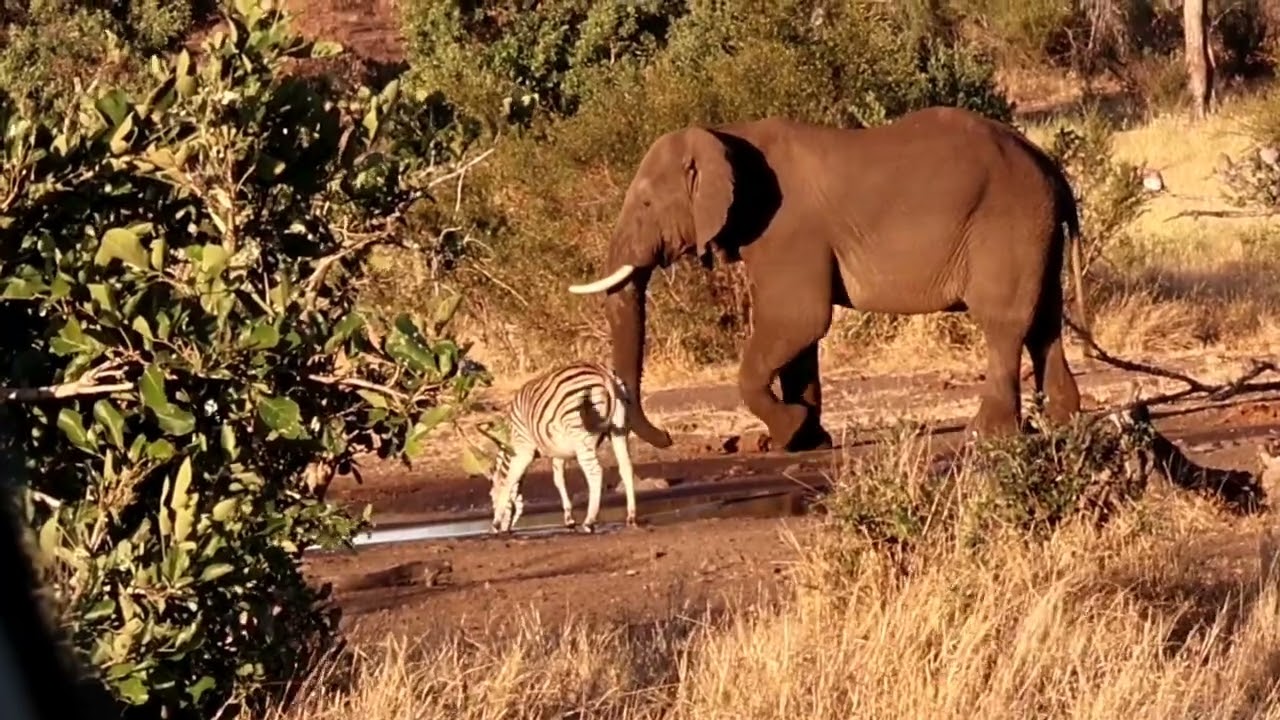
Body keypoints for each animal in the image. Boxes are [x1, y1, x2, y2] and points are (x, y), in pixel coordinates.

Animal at [489, 361, 639, 534]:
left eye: (492, 496)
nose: (501, 529)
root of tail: (603, 373)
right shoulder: (557, 451)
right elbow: (558, 480)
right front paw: (569, 518)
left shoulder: (523, 448)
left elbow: (509, 480)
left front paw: (496, 522)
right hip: (619, 429)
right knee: (626, 467)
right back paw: (631, 517)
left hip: (581, 434)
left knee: (595, 472)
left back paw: (589, 521)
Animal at [567, 106, 1085, 453]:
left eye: (646, 205)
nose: (668, 437)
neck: (727, 135)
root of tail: (1052, 169)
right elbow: (799, 340)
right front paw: (805, 438)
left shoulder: (786, 228)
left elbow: (797, 321)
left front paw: (788, 430)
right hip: (1035, 229)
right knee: (1044, 322)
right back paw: (1062, 422)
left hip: (1007, 223)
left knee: (1004, 324)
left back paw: (987, 433)